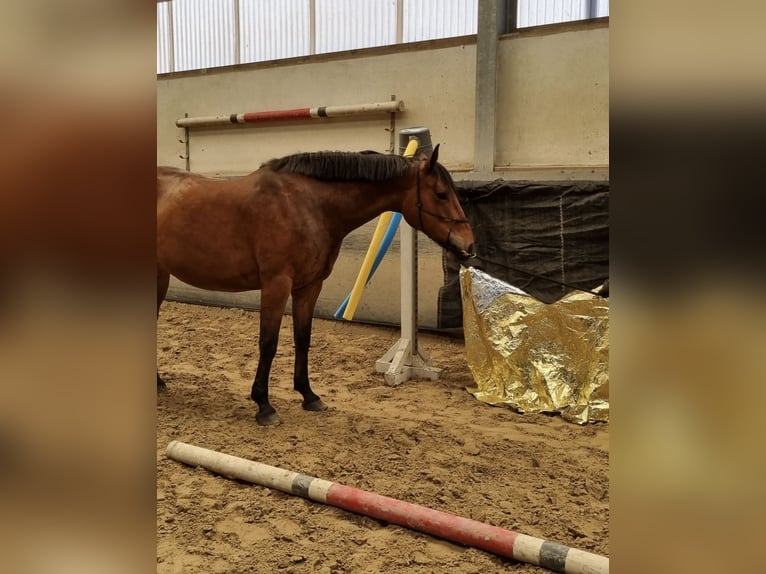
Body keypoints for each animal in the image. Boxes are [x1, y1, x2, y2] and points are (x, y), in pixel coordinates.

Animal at [157, 145, 476, 425]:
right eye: (441, 194)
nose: (469, 245)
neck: (306, 205)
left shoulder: (309, 286)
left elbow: (303, 338)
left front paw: (308, 395)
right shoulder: (276, 284)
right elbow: (268, 343)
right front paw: (264, 406)